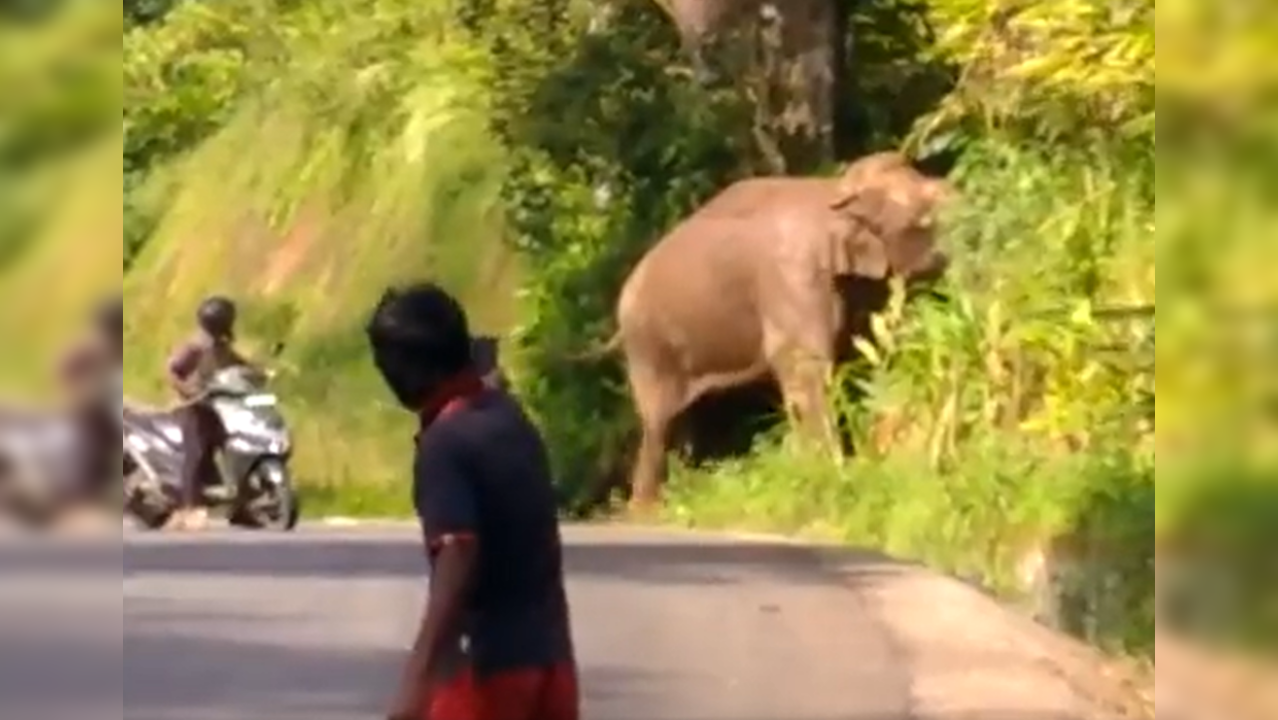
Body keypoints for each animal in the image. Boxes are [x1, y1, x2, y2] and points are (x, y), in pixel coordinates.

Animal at [603, 153, 955, 506]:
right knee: (659, 422)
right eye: (922, 220)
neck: (832, 191)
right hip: (649, 347)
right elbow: (803, 365)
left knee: (688, 419)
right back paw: (648, 508)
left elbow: (863, 352)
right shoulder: (793, 278)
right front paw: (830, 473)